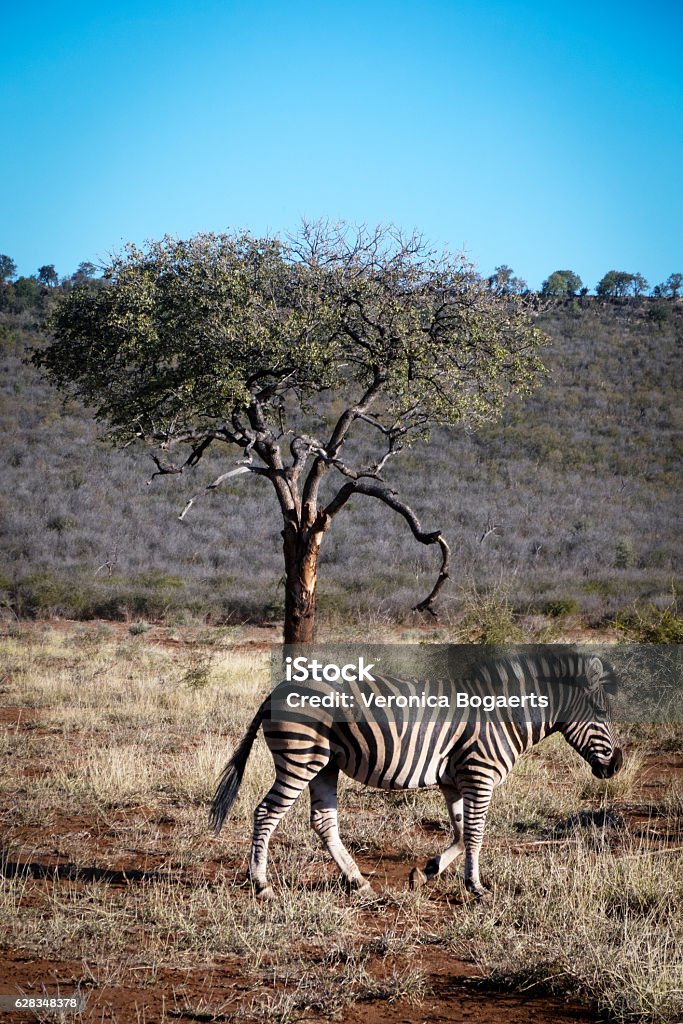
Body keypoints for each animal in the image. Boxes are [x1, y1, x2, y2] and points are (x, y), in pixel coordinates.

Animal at [210, 651, 622, 901]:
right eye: (602, 713)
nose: (617, 765)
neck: (503, 715)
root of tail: (277, 690)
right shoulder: (479, 774)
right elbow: (475, 834)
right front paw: (476, 888)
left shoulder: (454, 780)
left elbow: (460, 832)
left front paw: (425, 873)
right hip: (300, 759)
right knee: (266, 813)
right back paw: (261, 885)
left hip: (324, 765)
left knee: (323, 822)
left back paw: (358, 882)